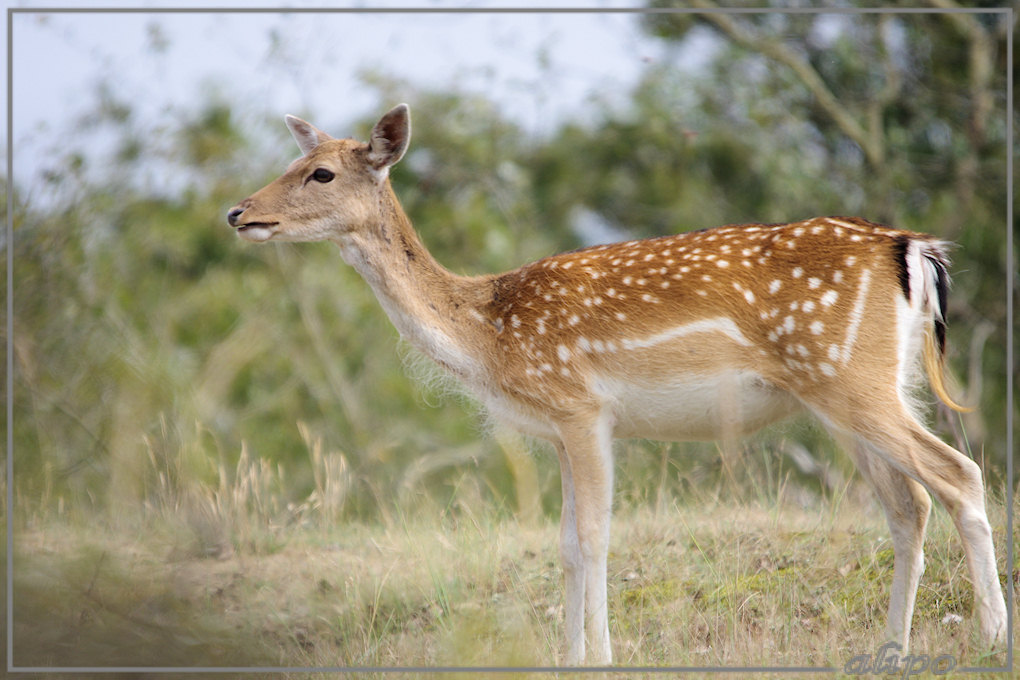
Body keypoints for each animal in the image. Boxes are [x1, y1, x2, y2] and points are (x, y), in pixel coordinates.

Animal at [227, 105, 1007, 664]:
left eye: (321, 173)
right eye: (296, 159)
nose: (238, 212)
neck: (488, 335)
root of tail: (913, 250)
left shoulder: (581, 407)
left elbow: (597, 538)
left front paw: (600, 657)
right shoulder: (559, 432)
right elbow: (566, 545)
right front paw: (568, 658)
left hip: (850, 378)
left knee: (959, 474)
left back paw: (992, 639)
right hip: (854, 392)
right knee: (908, 505)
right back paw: (891, 651)